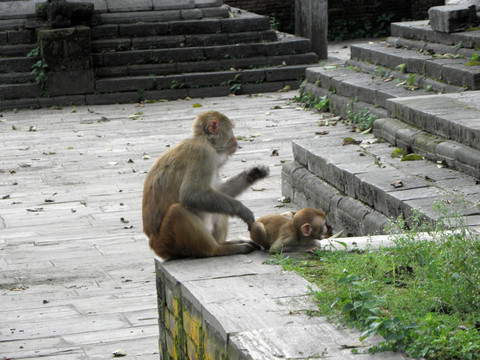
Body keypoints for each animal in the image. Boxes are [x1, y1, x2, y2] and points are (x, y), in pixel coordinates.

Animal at [142, 111, 270, 260]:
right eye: (231, 128)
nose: (235, 140)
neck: (205, 140)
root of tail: (154, 245)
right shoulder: (203, 154)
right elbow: (191, 195)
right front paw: (241, 209)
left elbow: (219, 190)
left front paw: (253, 174)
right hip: (167, 241)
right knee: (176, 211)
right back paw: (218, 249)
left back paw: (224, 243)